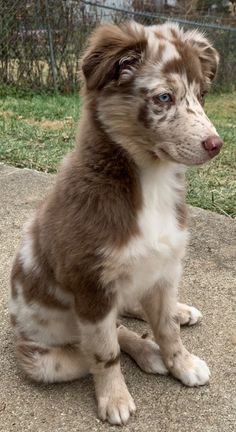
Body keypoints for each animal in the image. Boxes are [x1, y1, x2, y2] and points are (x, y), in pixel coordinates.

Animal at [9, 20, 223, 426]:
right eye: (164, 98)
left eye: (201, 95)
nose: (216, 144)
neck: (149, 183)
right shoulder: (91, 285)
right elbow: (105, 353)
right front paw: (116, 398)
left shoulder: (167, 266)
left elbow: (167, 328)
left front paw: (182, 362)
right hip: (41, 357)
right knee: (111, 333)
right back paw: (146, 351)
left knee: (135, 310)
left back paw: (179, 314)